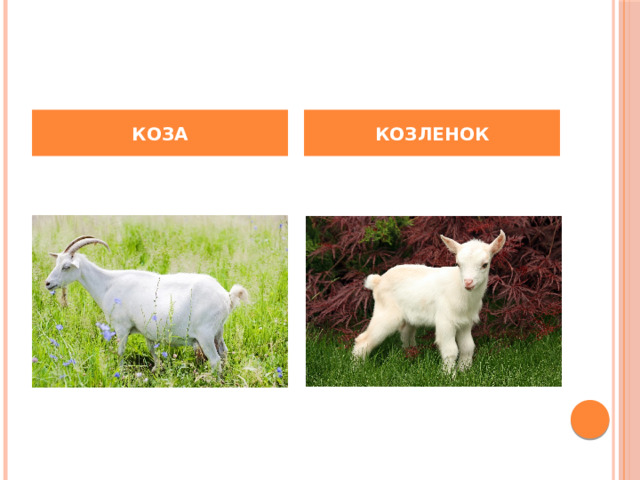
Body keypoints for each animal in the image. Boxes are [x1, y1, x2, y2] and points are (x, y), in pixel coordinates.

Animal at [45, 236, 249, 372]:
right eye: (56, 263)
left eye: (66, 267)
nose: (47, 283)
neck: (107, 284)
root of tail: (227, 296)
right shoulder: (147, 330)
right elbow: (152, 350)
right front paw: (156, 370)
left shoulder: (121, 327)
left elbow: (120, 351)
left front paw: (119, 373)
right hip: (218, 330)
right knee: (224, 352)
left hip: (205, 334)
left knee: (214, 359)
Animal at [353, 230, 506, 373]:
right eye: (458, 264)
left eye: (485, 264)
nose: (468, 282)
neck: (463, 293)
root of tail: (377, 281)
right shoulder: (445, 321)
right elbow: (451, 350)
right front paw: (449, 375)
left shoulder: (465, 322)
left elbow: (467, 347)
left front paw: (464, 371)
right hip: (386, 313)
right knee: (364, 339)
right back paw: (357, 368)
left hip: (408, 316)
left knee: (406, 334)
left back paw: (410, 355)